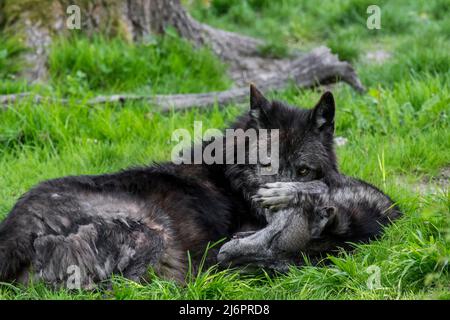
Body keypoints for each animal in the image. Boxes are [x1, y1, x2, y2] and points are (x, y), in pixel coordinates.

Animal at [0, 85, 400, 288]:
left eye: (302, 169)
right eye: (265, 165)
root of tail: (15, 229)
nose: (275, 212)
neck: (230, 176)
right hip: (152, 233)